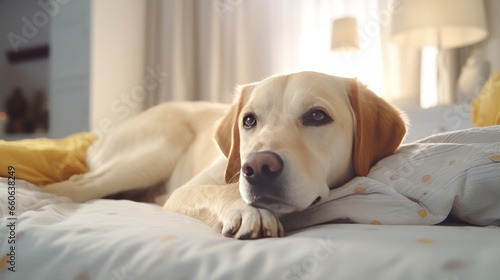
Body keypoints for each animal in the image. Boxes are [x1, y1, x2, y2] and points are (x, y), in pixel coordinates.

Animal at [43, 71, 406, 238]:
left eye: (317, 116)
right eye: (249, 120)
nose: (257, 167)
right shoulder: (187, 189)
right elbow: (225, 190)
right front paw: (248, 211)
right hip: (158, 149)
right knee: (70, 185)